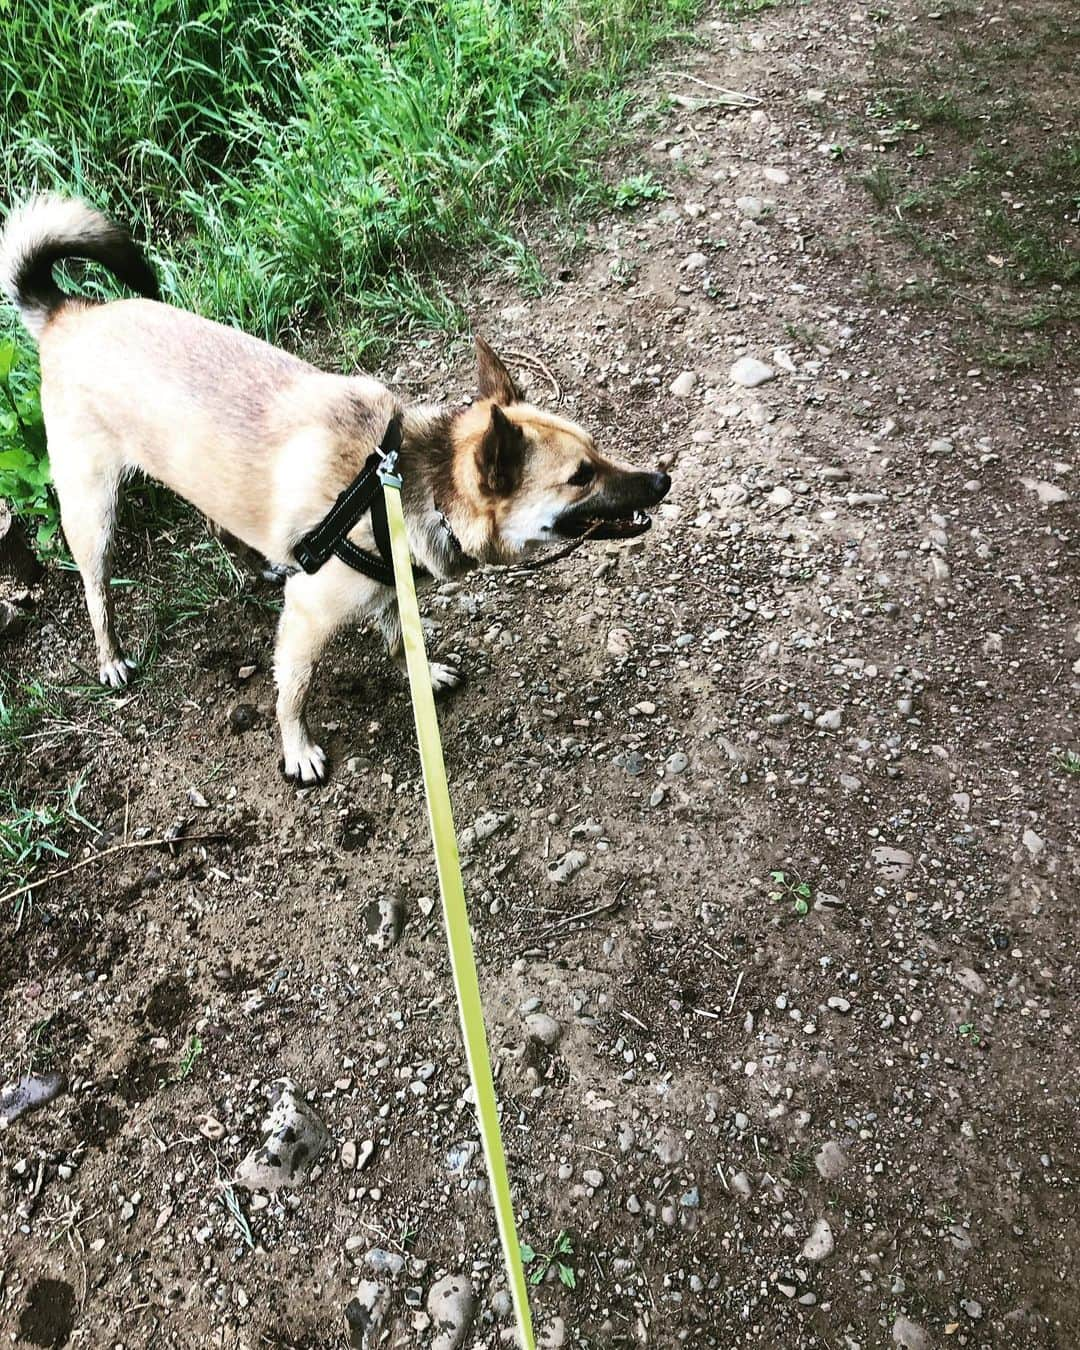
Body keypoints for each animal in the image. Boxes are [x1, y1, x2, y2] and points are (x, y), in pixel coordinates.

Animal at [0, 191, 669, 783]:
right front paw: (297, 752)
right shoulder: (306, 622)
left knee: (220, 526)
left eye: (597, 449)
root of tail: (67, 313)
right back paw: (111, 657)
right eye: (580, 477)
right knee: (97, 591)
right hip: (93, 512)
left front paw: (423, 674)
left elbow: (401, 641)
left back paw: (261, 564)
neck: (398, 485)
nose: (662, 479)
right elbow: (291, 694)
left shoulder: (392, 589)